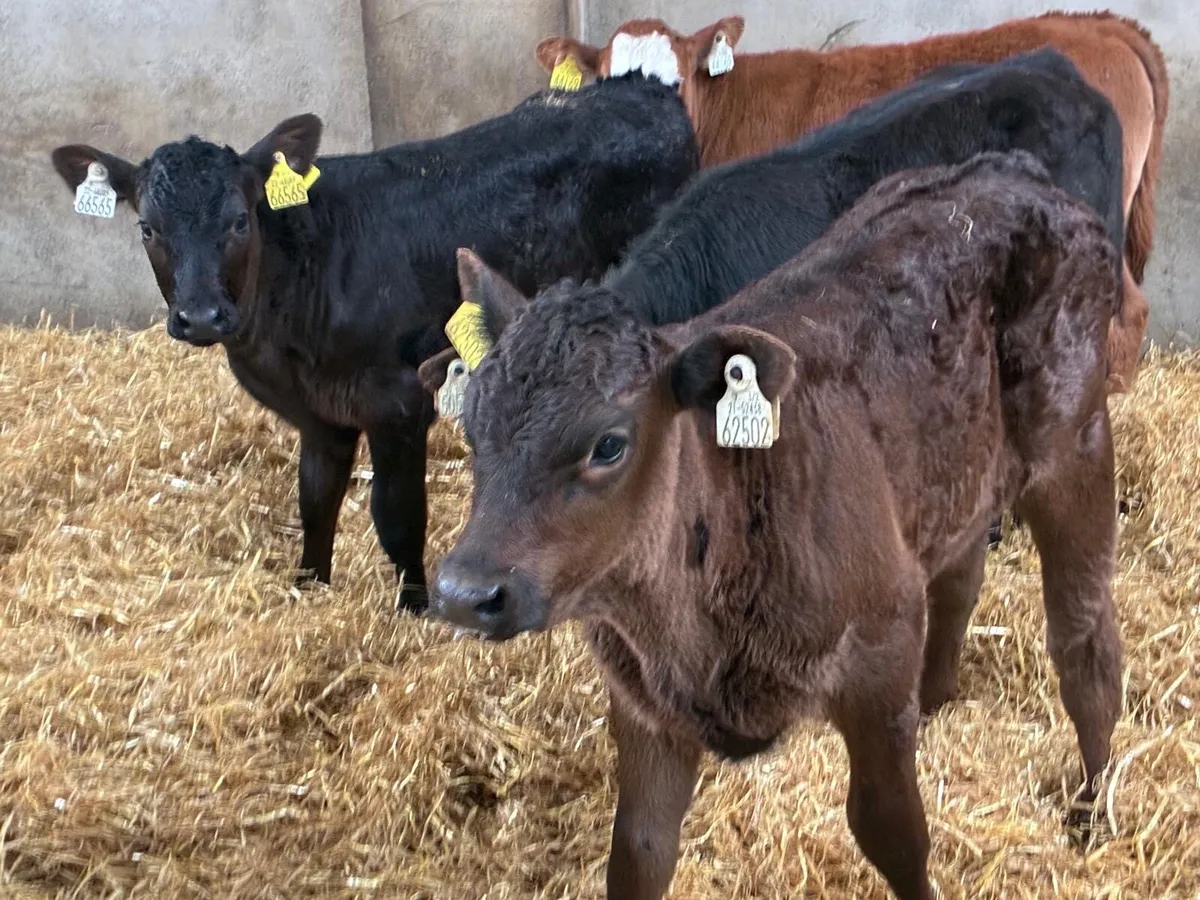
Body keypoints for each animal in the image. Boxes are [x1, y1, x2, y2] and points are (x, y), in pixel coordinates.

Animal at [50, 73, 699, 608]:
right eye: (147, 228)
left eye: (239, 220)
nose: (202, 316)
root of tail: (640, 86)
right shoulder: (319, 414)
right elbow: (315, 500)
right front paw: (309, 585)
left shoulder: (398, 401)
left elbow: (398, 514)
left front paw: (415, 606)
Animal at [424, 150, 1124, 899]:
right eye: (471, 424)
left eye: (608, 444)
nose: (464, 593)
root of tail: (1010, 170)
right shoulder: (642, 704)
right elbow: (639, 851)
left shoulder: (879, 653)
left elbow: (891, 828)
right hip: (954, 469)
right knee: (960, 575)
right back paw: (937, 703)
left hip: (1074, 444)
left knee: (1085, 645)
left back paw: (1092, 812)